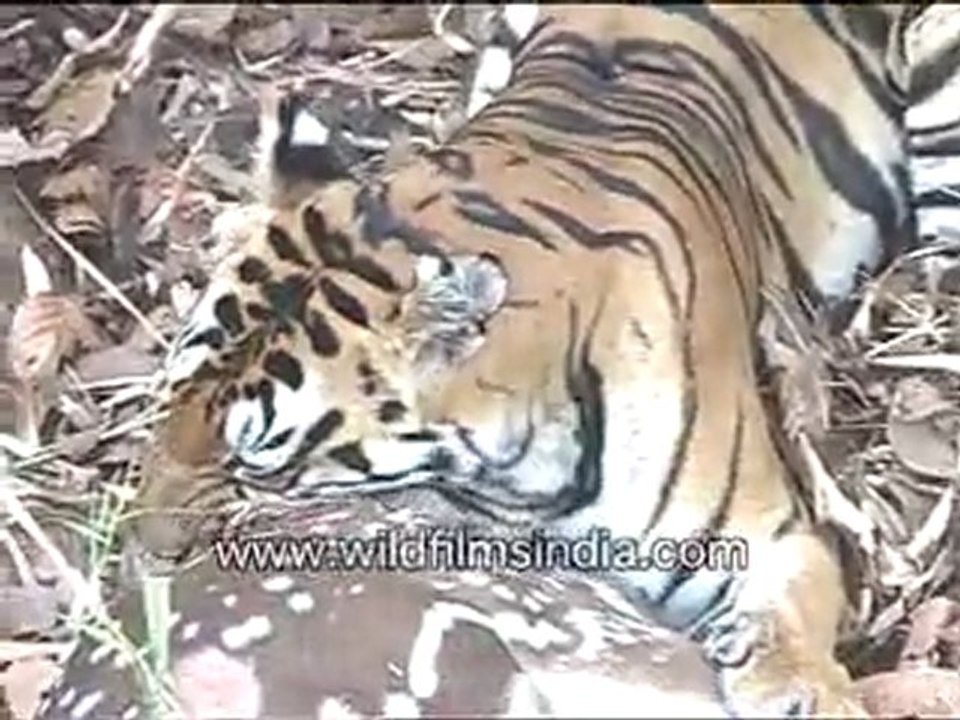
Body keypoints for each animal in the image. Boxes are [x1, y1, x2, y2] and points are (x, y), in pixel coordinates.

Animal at [127, 5, 960, 718]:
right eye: (167, 403)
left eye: (258, 459)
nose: (146, 554)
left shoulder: (778, 532)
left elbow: (797, 607)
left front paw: (805, 689)